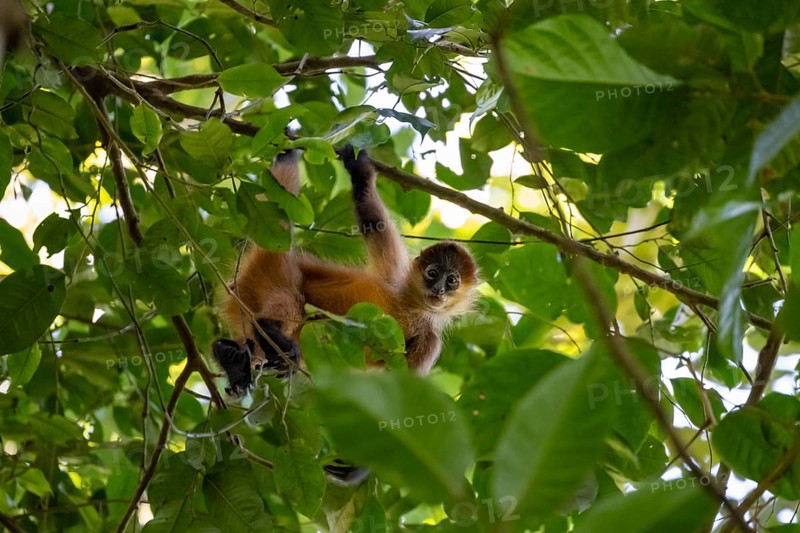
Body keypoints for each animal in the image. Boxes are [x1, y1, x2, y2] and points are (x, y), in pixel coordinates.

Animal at [212, 146, 479, 394]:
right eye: (432, 273)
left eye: (452, 281)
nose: (439, 289)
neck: (413, 306)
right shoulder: (396, 278)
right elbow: (374, 222)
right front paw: (359, 168)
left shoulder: (430, 341)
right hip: (280, 273)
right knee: (292, 303)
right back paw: (270, 331)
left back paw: (232, 358)